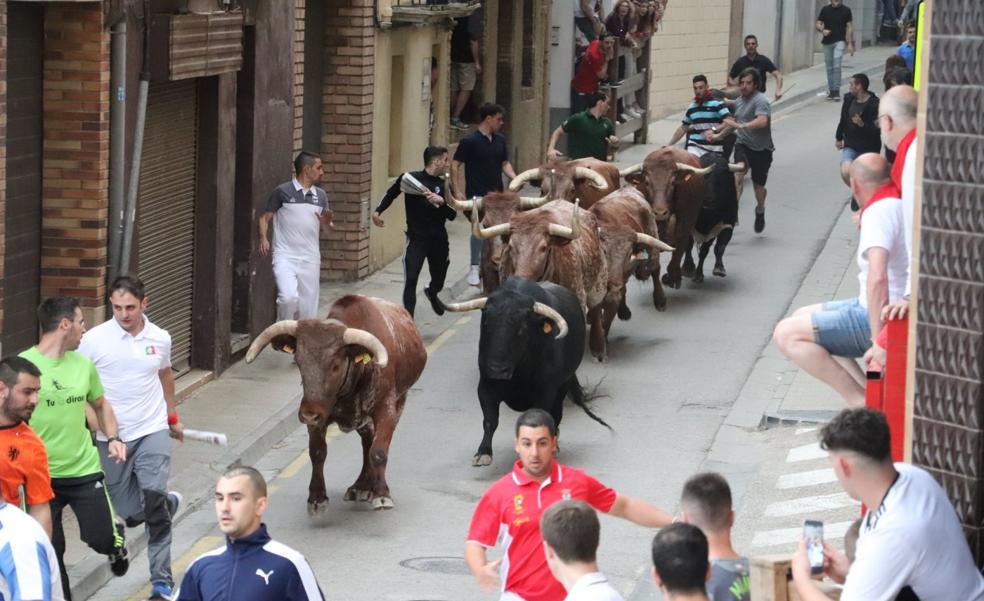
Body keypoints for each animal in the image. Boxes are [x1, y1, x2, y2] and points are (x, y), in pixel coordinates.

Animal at [244, 294, 424, 510]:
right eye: (299, 362)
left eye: (336, 365)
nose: (308, 413)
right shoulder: (318, 417)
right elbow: (318, 452)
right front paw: (317, 497)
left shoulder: (386, 410)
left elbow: (379, 451)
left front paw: (382, 493)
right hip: (362, 421)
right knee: (366, 443)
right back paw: (361, 486)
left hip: (398, 403)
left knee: (372, 445)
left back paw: (368, 486)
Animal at [444, 276, 608, 464]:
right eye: (486, 323)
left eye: (521, 328)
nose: (497, 370)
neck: (518, 373)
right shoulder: (485, 386)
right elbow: (490, 420)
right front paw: (483, 453)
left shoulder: (546, 391)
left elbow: (542, 419)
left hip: (563, 385)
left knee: (557, 415)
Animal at [588, 188, 672, 354]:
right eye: (603, 252)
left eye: (628, 255)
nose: (613, 285)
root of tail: (628, 189)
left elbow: (606, 320)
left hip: (653, 238)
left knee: (655, 269)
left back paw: (659, 301)